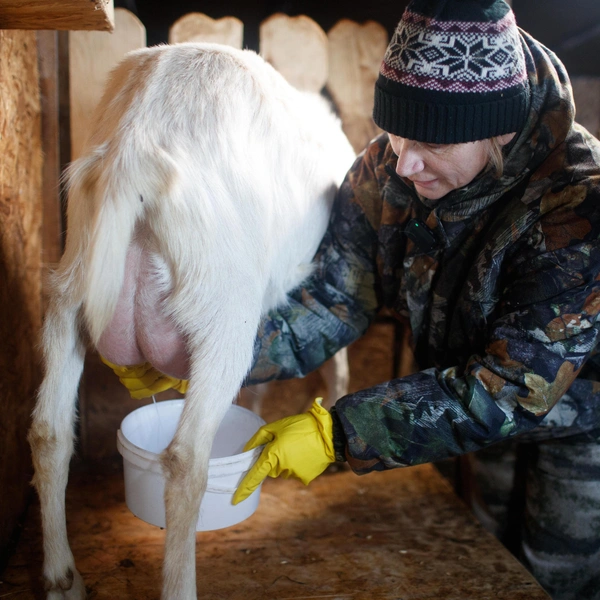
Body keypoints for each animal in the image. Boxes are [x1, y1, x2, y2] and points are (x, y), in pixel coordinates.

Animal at [28, 43, 354, 600]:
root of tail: (134, 150)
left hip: (70, 290)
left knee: (49, 431)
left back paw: (61, 576)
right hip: (221, 314)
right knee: (184, 462)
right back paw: (179, 584)